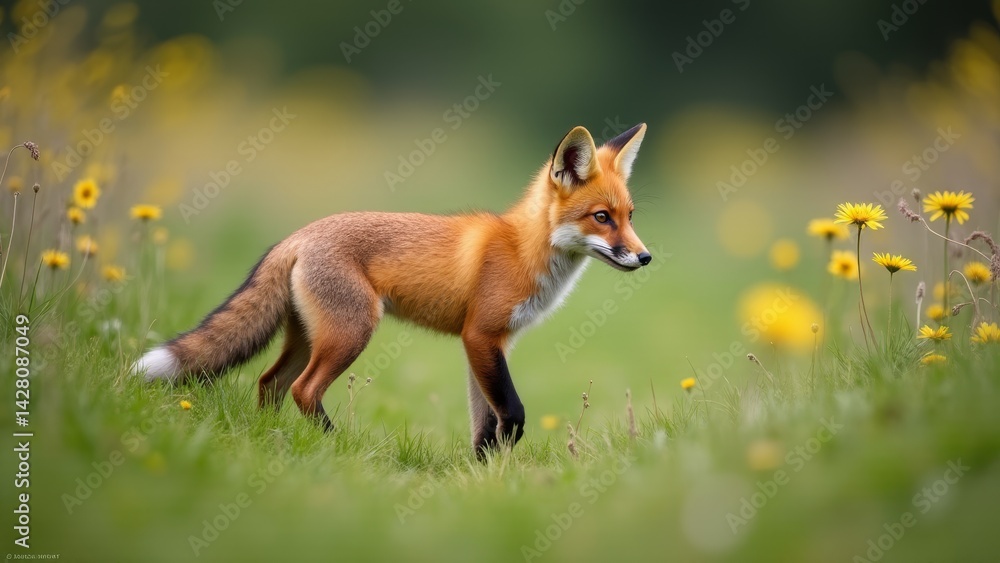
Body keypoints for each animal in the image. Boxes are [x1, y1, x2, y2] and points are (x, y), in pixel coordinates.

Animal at [133, 123, 652, 458]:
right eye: (601, 218)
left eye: (629, 217)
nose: (645, 257)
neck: (523, 250)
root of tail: (297, 235)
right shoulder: (481, 337)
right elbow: (514, 413)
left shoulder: (487, 346)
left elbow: (485, 423)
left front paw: (482, 473)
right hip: (351, 333)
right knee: (303, 390)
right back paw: (335, 446)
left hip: (306, 338)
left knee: (269, 383)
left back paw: (269, 441)